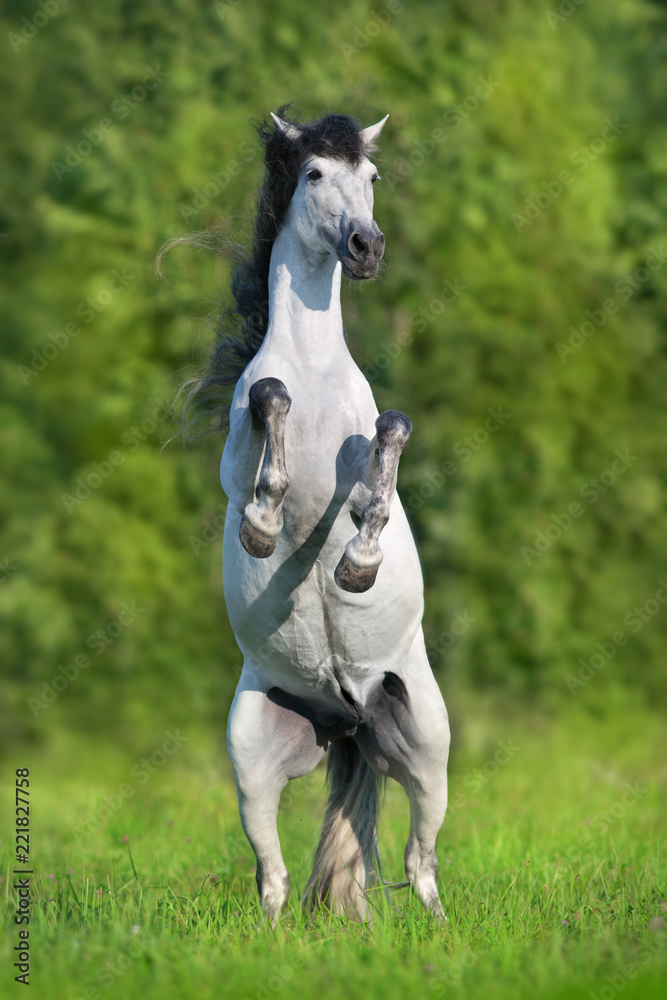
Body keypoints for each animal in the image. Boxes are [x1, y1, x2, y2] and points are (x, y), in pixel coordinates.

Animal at [191, 108, 450, 923]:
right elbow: (267, 403)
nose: (366, 248)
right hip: (250, 752)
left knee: (422, 862)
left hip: (426, 741)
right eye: (311, 173)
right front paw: (264, 529)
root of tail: (347, 718)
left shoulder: (371, 453)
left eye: (369, 175)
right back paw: (275, 936)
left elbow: (388, 449)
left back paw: (438, 932)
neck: (312, 367)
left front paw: (356, 566)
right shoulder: (235, 462)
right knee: (271, 875)